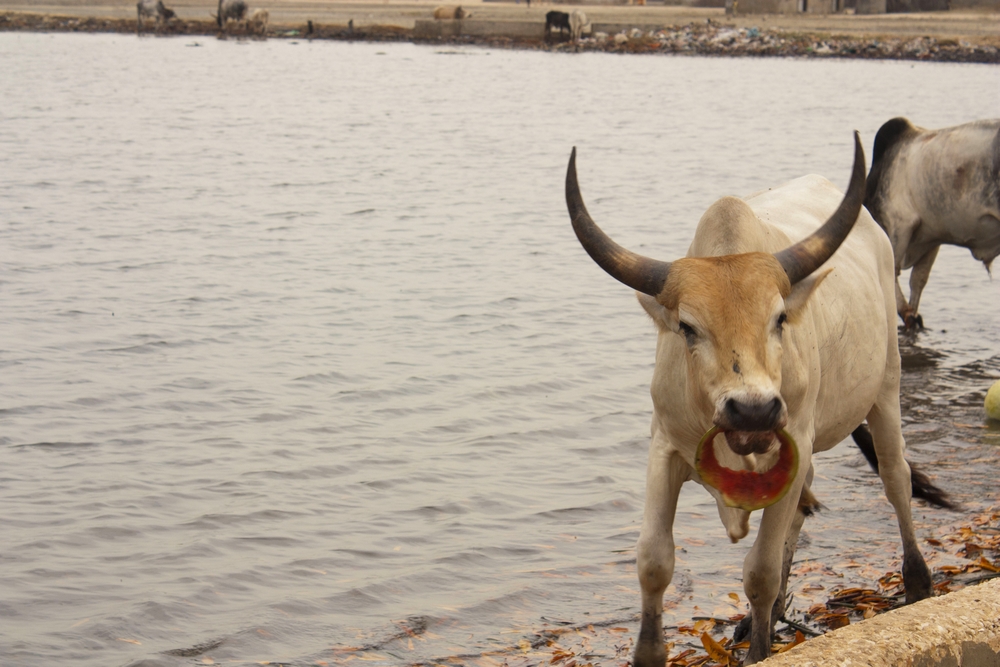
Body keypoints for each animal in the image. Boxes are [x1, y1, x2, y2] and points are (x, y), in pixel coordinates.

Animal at [568, 133, 948, 664]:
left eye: (780, 318)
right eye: (687, 327)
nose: (752, 410)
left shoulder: (797, 441)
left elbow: (760, 571)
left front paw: (762, 649)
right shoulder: (663, 447)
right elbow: (653, 561)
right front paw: (650, 652)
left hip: (886, 386)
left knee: (896, 478)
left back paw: (916, 582)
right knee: (809, 501)